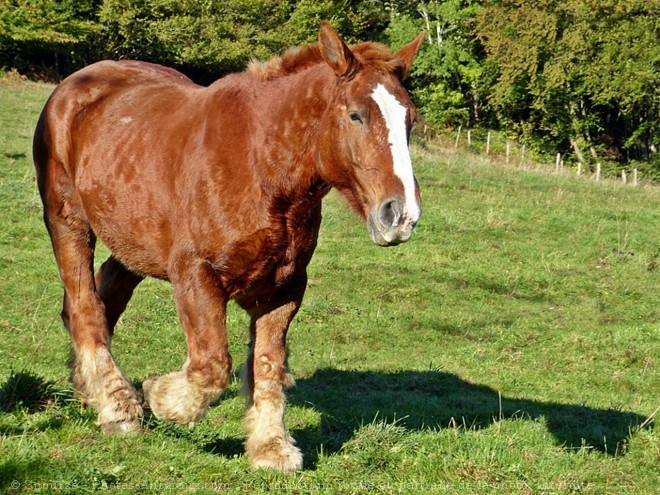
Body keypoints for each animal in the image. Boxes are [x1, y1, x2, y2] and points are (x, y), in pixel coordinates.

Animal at [32, 23, 422, 472]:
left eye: (410, 120)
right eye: (357, 114)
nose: (402, 214)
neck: (261, 167)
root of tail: (77, 83)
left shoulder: (285, 288)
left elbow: (267, 365)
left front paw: (271, 446)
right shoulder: (196, 274)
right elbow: (213, 365)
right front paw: (162, 397)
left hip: (131, 237)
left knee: (104, 297)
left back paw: (91, 388)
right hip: (68, 222)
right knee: (85, 307)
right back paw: (118, 408)